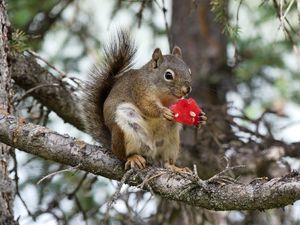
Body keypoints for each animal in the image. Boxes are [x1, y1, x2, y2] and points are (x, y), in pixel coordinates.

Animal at [82, 30, 206, 172]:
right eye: (168, 75)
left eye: (189, 71)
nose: (187, 89)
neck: (164, 96)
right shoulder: (140, 89)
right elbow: (147, 106)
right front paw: (163, 112)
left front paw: (201, 117)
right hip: (124, 131)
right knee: (122, 155)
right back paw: (133, 158)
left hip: (171, 141)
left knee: (165, 161)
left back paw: (175, 167)